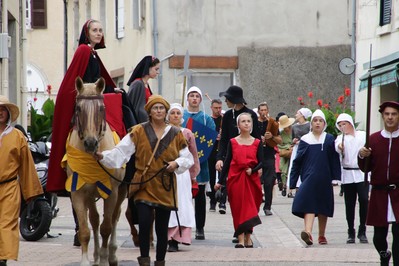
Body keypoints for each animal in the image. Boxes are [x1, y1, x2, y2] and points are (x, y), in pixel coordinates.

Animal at [66, 76, 126, 264]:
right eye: (78, 108)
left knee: (114, 217)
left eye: (101, 108)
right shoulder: (77, 192)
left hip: (121, 192)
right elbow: (85, 229)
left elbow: (107, 227)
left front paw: (105, 259)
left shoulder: (112, 192)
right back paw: (96, 255)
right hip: (91, 195)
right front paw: (86, 261)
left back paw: (111, 254)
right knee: (94, 219)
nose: (90, 143)